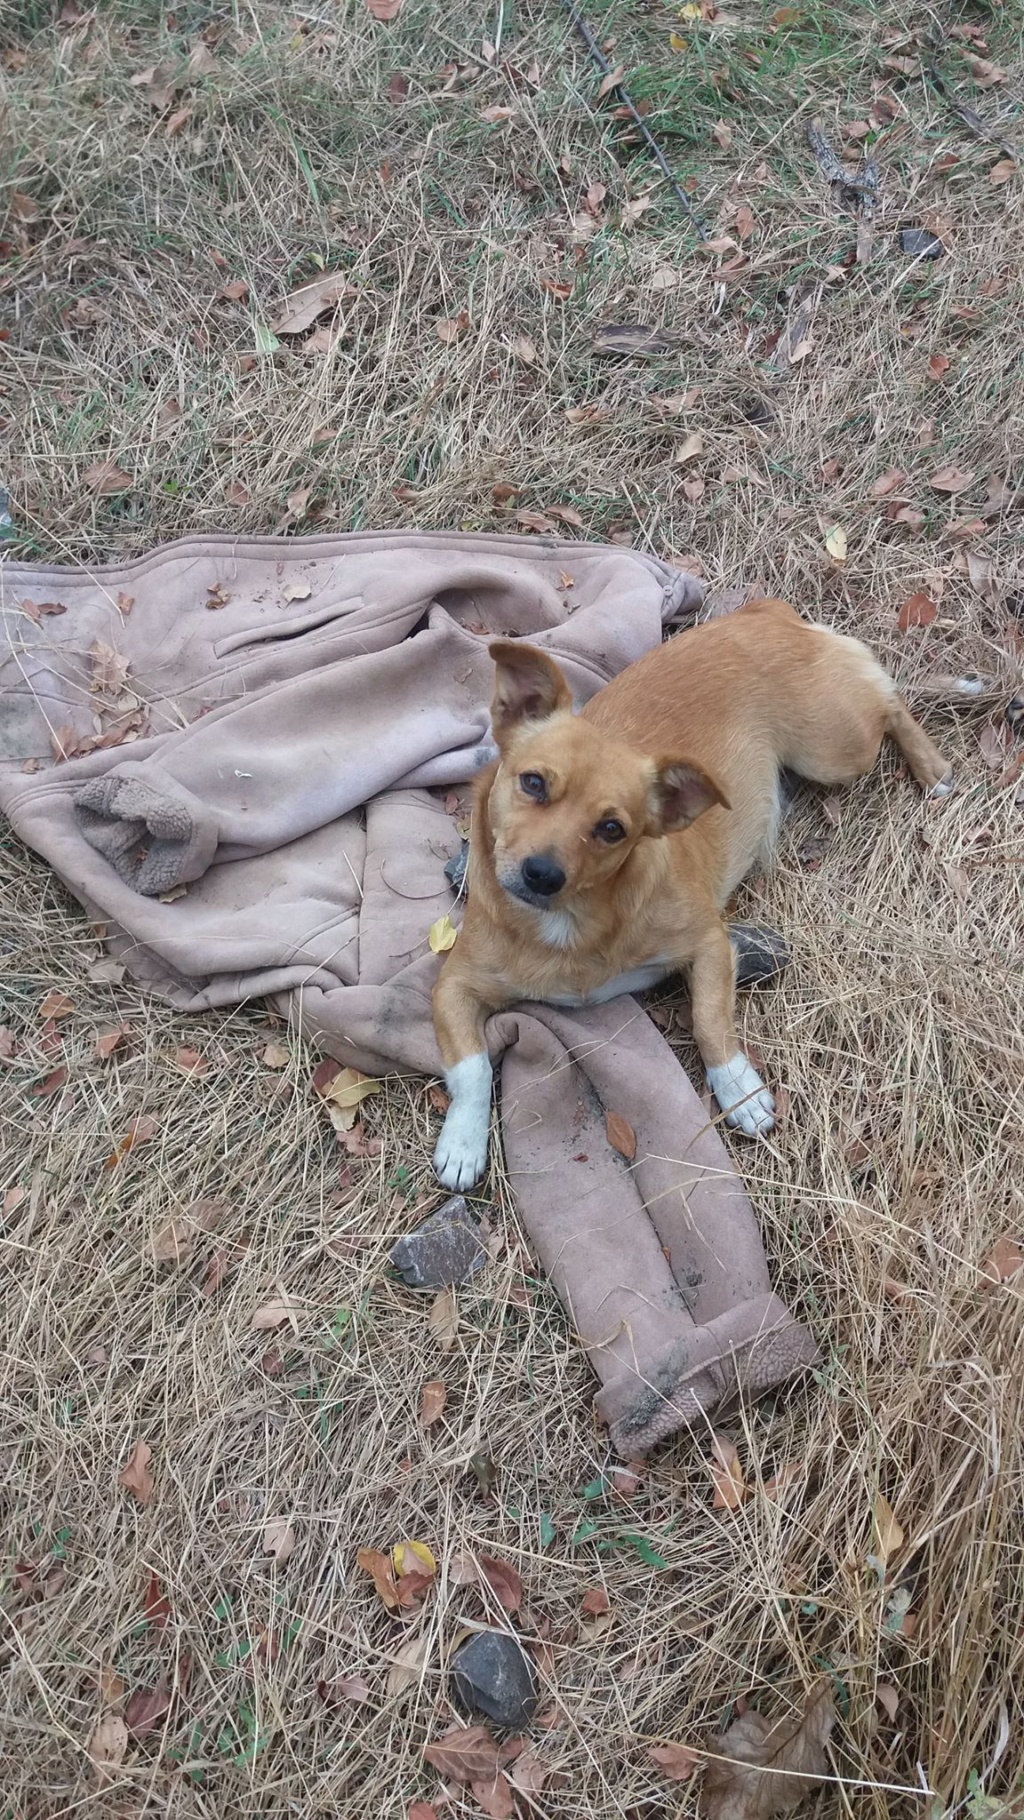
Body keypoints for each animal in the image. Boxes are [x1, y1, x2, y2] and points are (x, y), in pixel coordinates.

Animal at [431, 600, 953, 1193]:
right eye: (534, 783)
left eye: (612, 829)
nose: (542, 874)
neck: (572, 924)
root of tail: (765, 613)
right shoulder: (453, 987)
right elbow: (473, 1067)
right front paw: (463, 1141)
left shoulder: (709, 943)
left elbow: (707, 1019)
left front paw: (738, 1088)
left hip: (836, 750)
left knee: (891, 700)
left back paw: (933, 765)